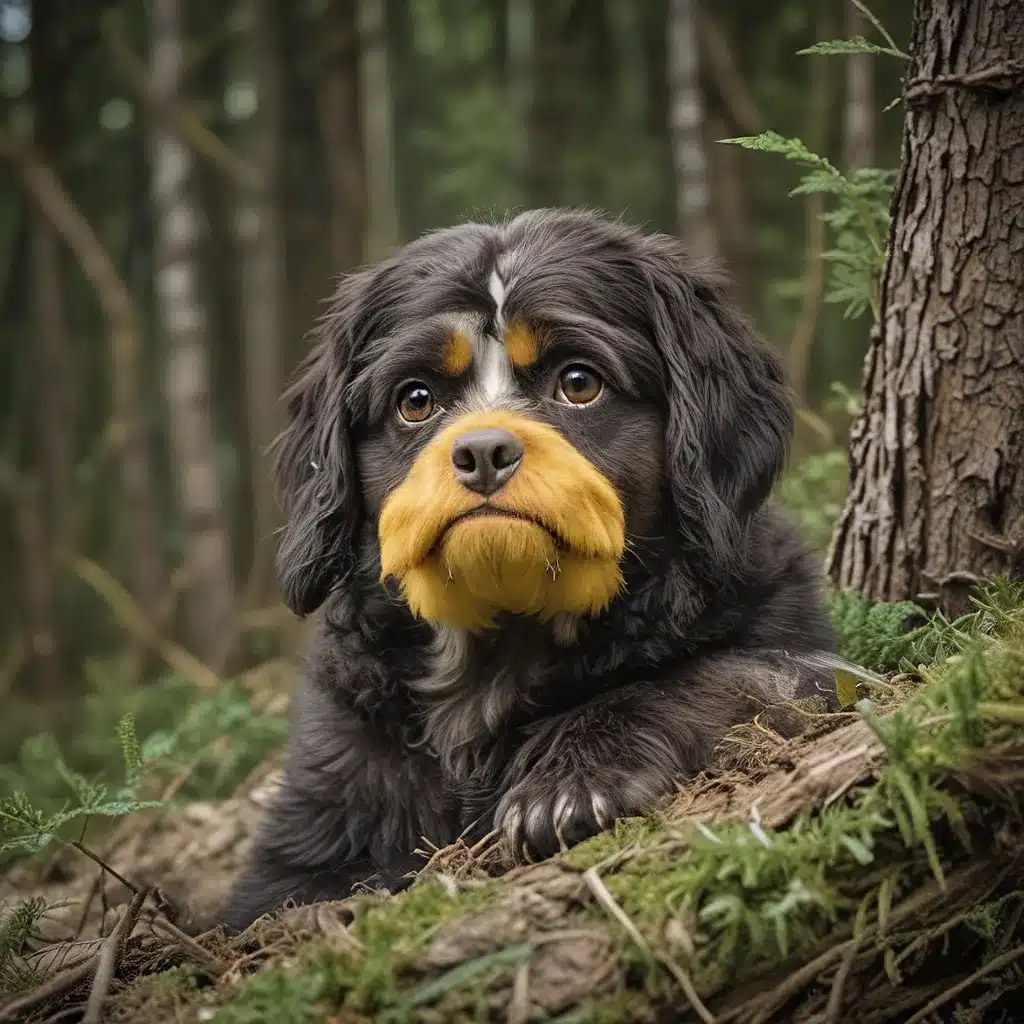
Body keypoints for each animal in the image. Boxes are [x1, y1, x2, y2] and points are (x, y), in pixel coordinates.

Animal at [220, 203, 835, 933]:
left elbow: (700, 676)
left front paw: (569, 782)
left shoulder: (801, 657)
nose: (483, 451)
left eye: (579, 383)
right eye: (415, 400)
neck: (499, 645)